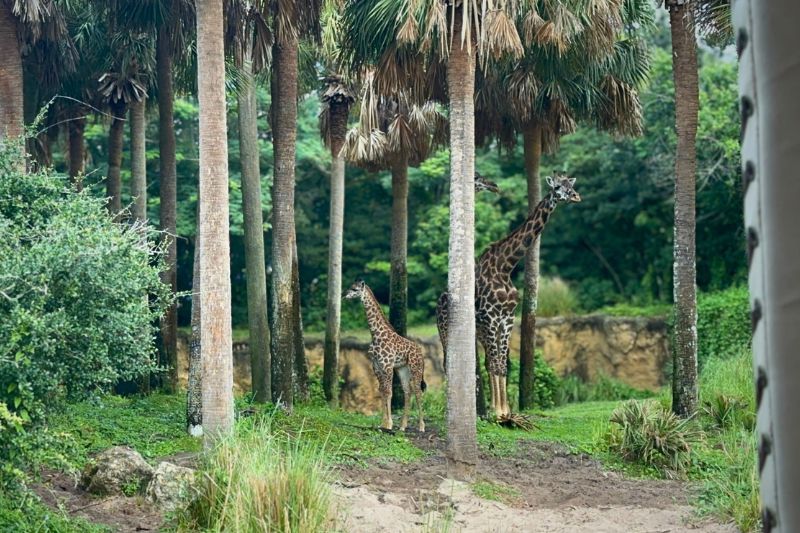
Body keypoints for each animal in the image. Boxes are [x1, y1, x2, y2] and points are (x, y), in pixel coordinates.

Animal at [345, 279, 426, 432]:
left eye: (355, 289)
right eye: (349, 287)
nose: (345, 295)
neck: (375, 334)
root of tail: (421, 353)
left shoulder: (387, 366)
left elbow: (388, 392)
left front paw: (388, 424)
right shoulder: (376, 366)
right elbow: (382, 391)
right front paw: (383, 424)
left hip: (415, 368)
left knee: (418, 392)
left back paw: (421, 426)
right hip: (402, 369)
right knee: (408, 391)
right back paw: (403, 426)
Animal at [436, 173, 581, 417]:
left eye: (571, 185)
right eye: (558, 187)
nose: (576, 196)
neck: (506, 266)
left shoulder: (507, 318)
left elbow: (502, 364)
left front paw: (504, 411)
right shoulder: (492, 317)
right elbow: (497, 364)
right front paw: (498, 412)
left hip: (478, 332)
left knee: (479, 363)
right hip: (447, 329)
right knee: (449, 362)